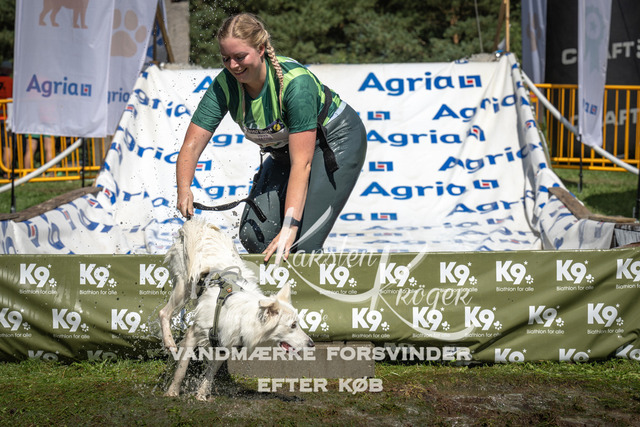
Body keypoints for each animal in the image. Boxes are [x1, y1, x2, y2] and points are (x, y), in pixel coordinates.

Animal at [159, 220, 314, 400]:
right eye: (293, 326)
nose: (311, 344)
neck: (241, 317)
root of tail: (201, 224)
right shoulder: (194, 332)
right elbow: (182, 368)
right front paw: (173, 391)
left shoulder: (224, 345)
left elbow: (209, 374)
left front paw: (201, 395)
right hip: (183, 287)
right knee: (164, 313)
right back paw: (169, 342)